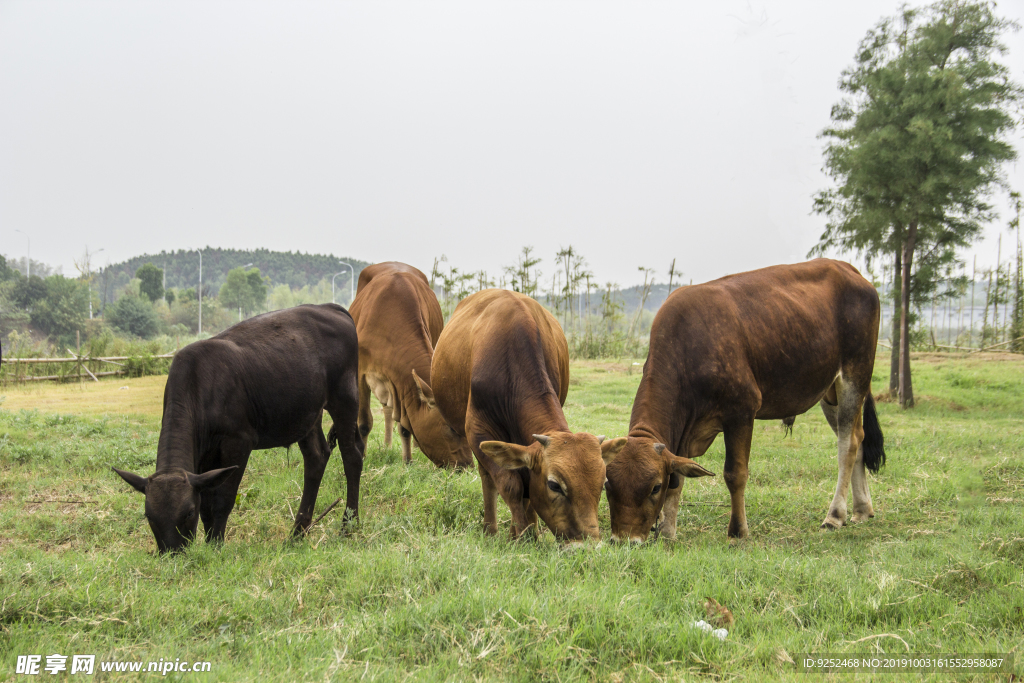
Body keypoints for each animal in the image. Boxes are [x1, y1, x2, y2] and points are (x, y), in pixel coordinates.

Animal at [115, 305, 364, 557]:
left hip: (345, 396)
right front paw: (210, 541)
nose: (172, 554)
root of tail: (329, 307)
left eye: (188, 512)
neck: (198, 386)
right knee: (316, 456)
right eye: (149, 516)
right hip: (307, 412)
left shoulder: (238, 442)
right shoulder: (204, 456)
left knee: (352, 456)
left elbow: (223, 499)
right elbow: (207, 502)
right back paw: (297, 533)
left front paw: (216, 545)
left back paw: (348, 526)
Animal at [346, 264, 468, 471]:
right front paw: (361, 456)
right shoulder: (361, 373)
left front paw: (408, 460)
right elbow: (364, 422)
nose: (467, 466)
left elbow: (405, 426)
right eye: (451, 428)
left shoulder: (401, 384)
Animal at [417, 290, 626, 540]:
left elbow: (526, 483)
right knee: (488, 478)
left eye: (602, 484)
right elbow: (510, 485)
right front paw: (522, 535)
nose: (588, 543)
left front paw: (526, 531)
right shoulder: (478, 432)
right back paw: (490, 528)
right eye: (554, 485)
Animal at [602, 260, 884, 544]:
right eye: (607, 484)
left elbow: (734, 474)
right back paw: (861, 509)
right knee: (859, 438)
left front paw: (738, 531)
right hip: (830, 391)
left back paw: (835, 515)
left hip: (855, 375)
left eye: (654, 487)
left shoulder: (741, 411)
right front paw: (668, 531)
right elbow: (679, 478)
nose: (624, 540)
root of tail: (850, 270)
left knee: (848, 445)